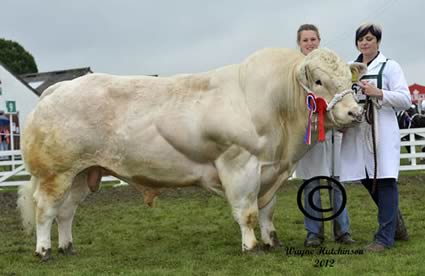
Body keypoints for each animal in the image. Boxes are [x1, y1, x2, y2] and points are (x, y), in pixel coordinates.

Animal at [17, 48, 364, 260]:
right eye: (318, 81)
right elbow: (248, 213)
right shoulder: (240, 165)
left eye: (349, 80)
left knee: (66, 212)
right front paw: (251, 246)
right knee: (46, 210)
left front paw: (271, 241)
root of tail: (58, 89)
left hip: (82, 172)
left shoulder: (273, 170)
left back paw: (67, 247)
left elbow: (267, 212)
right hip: (55, 173)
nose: (355, 112)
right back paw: (44, 251)